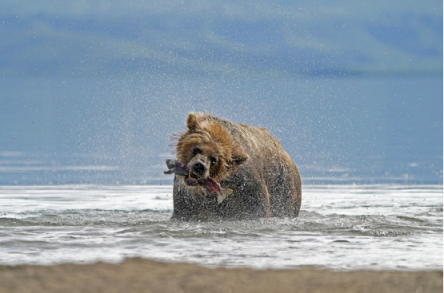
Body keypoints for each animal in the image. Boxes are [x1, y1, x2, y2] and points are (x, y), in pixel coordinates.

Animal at [170, 112, 302, 219]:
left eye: (214, 160)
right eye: (196, 149)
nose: (199, 166)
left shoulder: (246, 183)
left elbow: (258, 208)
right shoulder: (187, 196)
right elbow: (183, 211)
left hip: (284, 184)